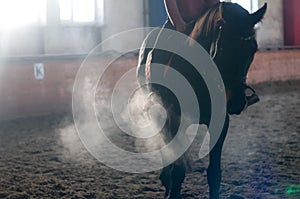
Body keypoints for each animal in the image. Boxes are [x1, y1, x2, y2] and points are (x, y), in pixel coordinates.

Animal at [137, 1, 268, 199]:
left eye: (253, 49)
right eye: (223, 48)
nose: (236, 102)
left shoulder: (221, 122)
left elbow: (214, 173)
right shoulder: (176, 120)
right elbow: (178, 170)